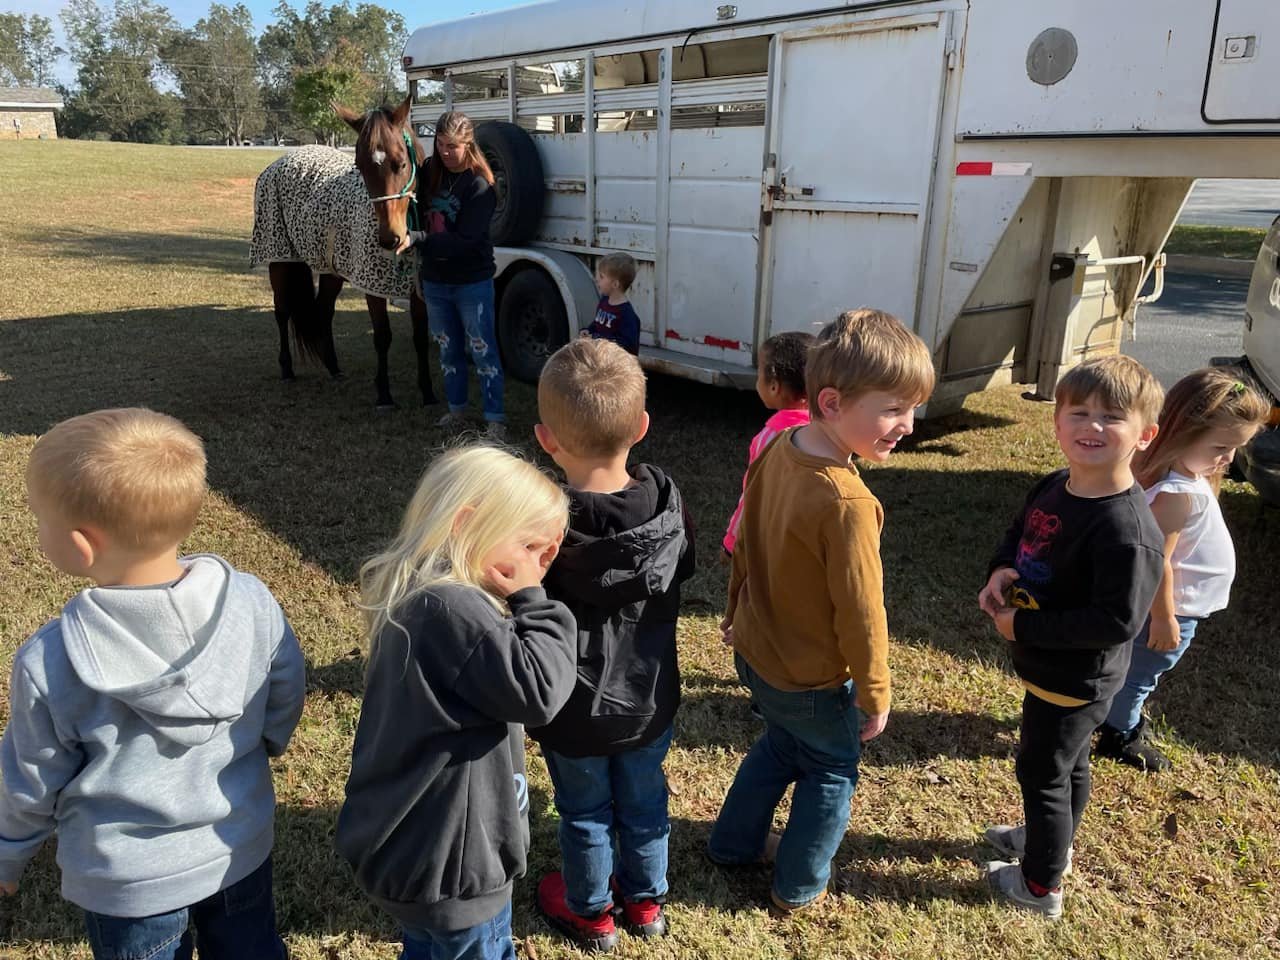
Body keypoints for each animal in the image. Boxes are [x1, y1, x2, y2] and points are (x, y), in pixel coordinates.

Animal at [257, 97, 437, 409]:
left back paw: (333, 367)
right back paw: (287, 369)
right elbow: (382, 336)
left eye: (401, 163)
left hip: (331, 270)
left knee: (323, 310)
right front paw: (384, 394)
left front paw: (427, 393)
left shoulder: (418, 288)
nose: (389, 238)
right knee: (282, 311)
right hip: (279, 259)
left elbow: (420, 337)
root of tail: (280, 161)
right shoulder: (372, 287)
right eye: (360, 166)